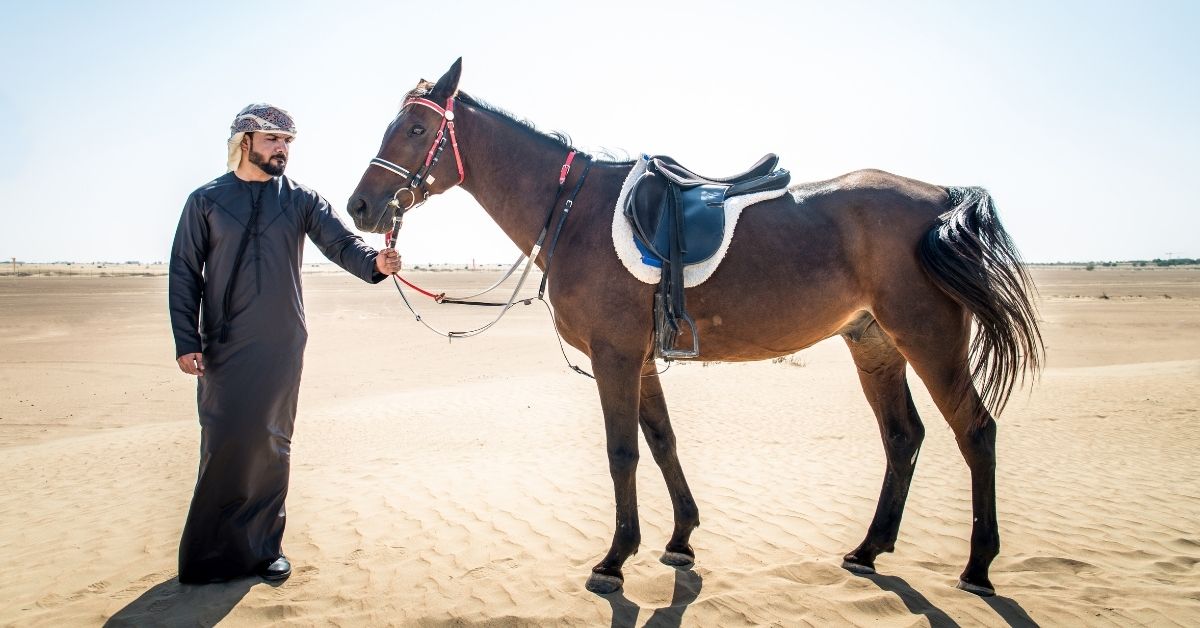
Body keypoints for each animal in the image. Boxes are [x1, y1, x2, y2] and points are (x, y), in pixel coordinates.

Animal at [348, 60, 1041, 600]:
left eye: (416, 129)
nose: (359, 206)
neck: (574, 210)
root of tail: (941, 196)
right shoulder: (639, 358)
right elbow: (662, 442)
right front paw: (681, 537)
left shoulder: (614, 356)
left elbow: (622, 452)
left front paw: (615, 558)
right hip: (873, 344)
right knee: (903, 437)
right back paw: (868, 549)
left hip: (928, 339)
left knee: (975, 432)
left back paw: (978, 566)